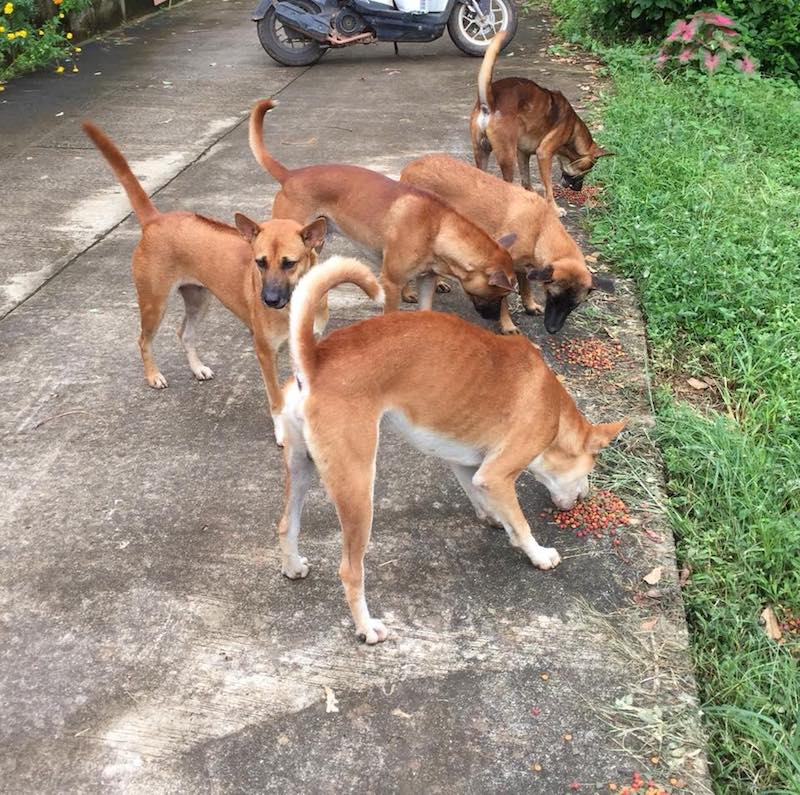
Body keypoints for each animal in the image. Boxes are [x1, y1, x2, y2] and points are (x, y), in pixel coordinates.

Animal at [83, 124, 326, 448]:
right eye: (259, 262)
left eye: (289, 263)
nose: (269, 300)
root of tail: (156, 220)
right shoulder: (265, 353)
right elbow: (276, 400)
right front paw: (281, 432)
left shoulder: (305, 348)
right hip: (154, 302)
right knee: (143, 340)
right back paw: (153, 375)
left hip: (200, 299)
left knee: (184, 333)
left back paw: (197, 368)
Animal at [247, 99, 516, 320]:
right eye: (501, 294)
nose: (494, 318)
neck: (437, 227)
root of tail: (291, 175)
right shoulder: (391, 283)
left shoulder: (426, 280)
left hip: (313, 245)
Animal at [278, 258, 628, 644]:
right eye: (590, 468)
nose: (585, 496)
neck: (555, 411)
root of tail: (314, 360)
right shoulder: (497, 473)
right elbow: (521, 525)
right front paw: (538, 554)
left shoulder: (467, 464)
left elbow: (482, 497)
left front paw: (494, 517)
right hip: (357, 489)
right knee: (350, 570)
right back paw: (366, 627)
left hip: (302, 467)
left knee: (286, 524)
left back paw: (293, 566)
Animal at [404, 154, 616, 334]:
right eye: (553, 298)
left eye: (574, 305)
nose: (552, 330)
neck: (541, 229)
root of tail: (412, 166)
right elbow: (504, 299)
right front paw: (507, 324)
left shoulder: (523, 265)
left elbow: (526, 286)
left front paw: (529, 305)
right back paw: (407, 293)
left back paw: (438, 282)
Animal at [468, 30, 612, 215]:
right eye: (585, 171)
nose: (578, 189)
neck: (573, 130)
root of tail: (490, 100)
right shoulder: (544, 154)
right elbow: (548, 188)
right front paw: (554, 209)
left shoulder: (523, 153)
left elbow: (526, 180)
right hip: (507, 157)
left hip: (482, 152)